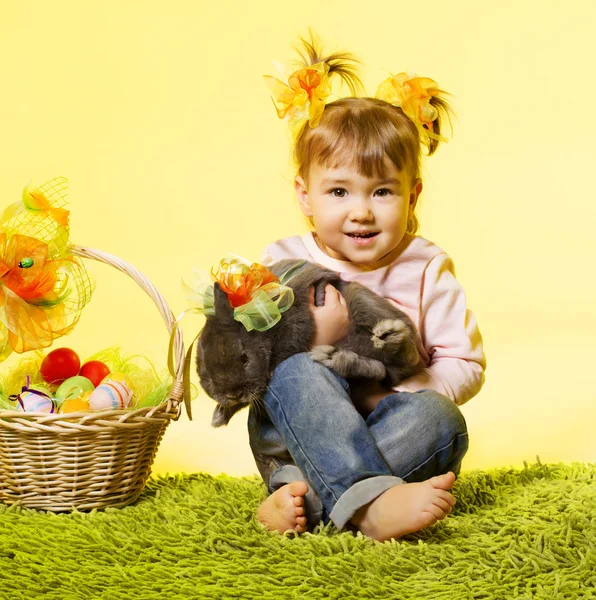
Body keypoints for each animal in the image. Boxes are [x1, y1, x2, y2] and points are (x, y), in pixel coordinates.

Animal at [196, 258, 420, 426]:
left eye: (244, 358)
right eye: (206, 366)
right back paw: (336, 358)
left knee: (408, 358)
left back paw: (389, 336)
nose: (232, 394)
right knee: (379, 369)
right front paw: (219, 415)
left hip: (361, 299)